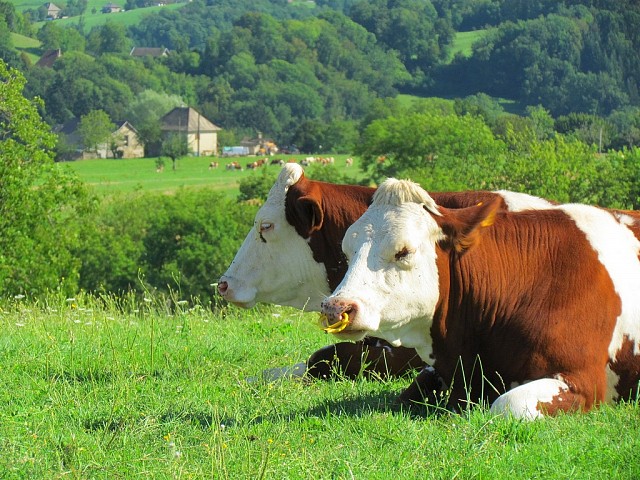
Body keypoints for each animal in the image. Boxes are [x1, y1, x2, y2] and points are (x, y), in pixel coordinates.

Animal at [320, 178, 640, 419]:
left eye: (403, 251)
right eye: (347, 252)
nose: (336, 308)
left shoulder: (585, 381)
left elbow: (507, 405)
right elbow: (409, 393)